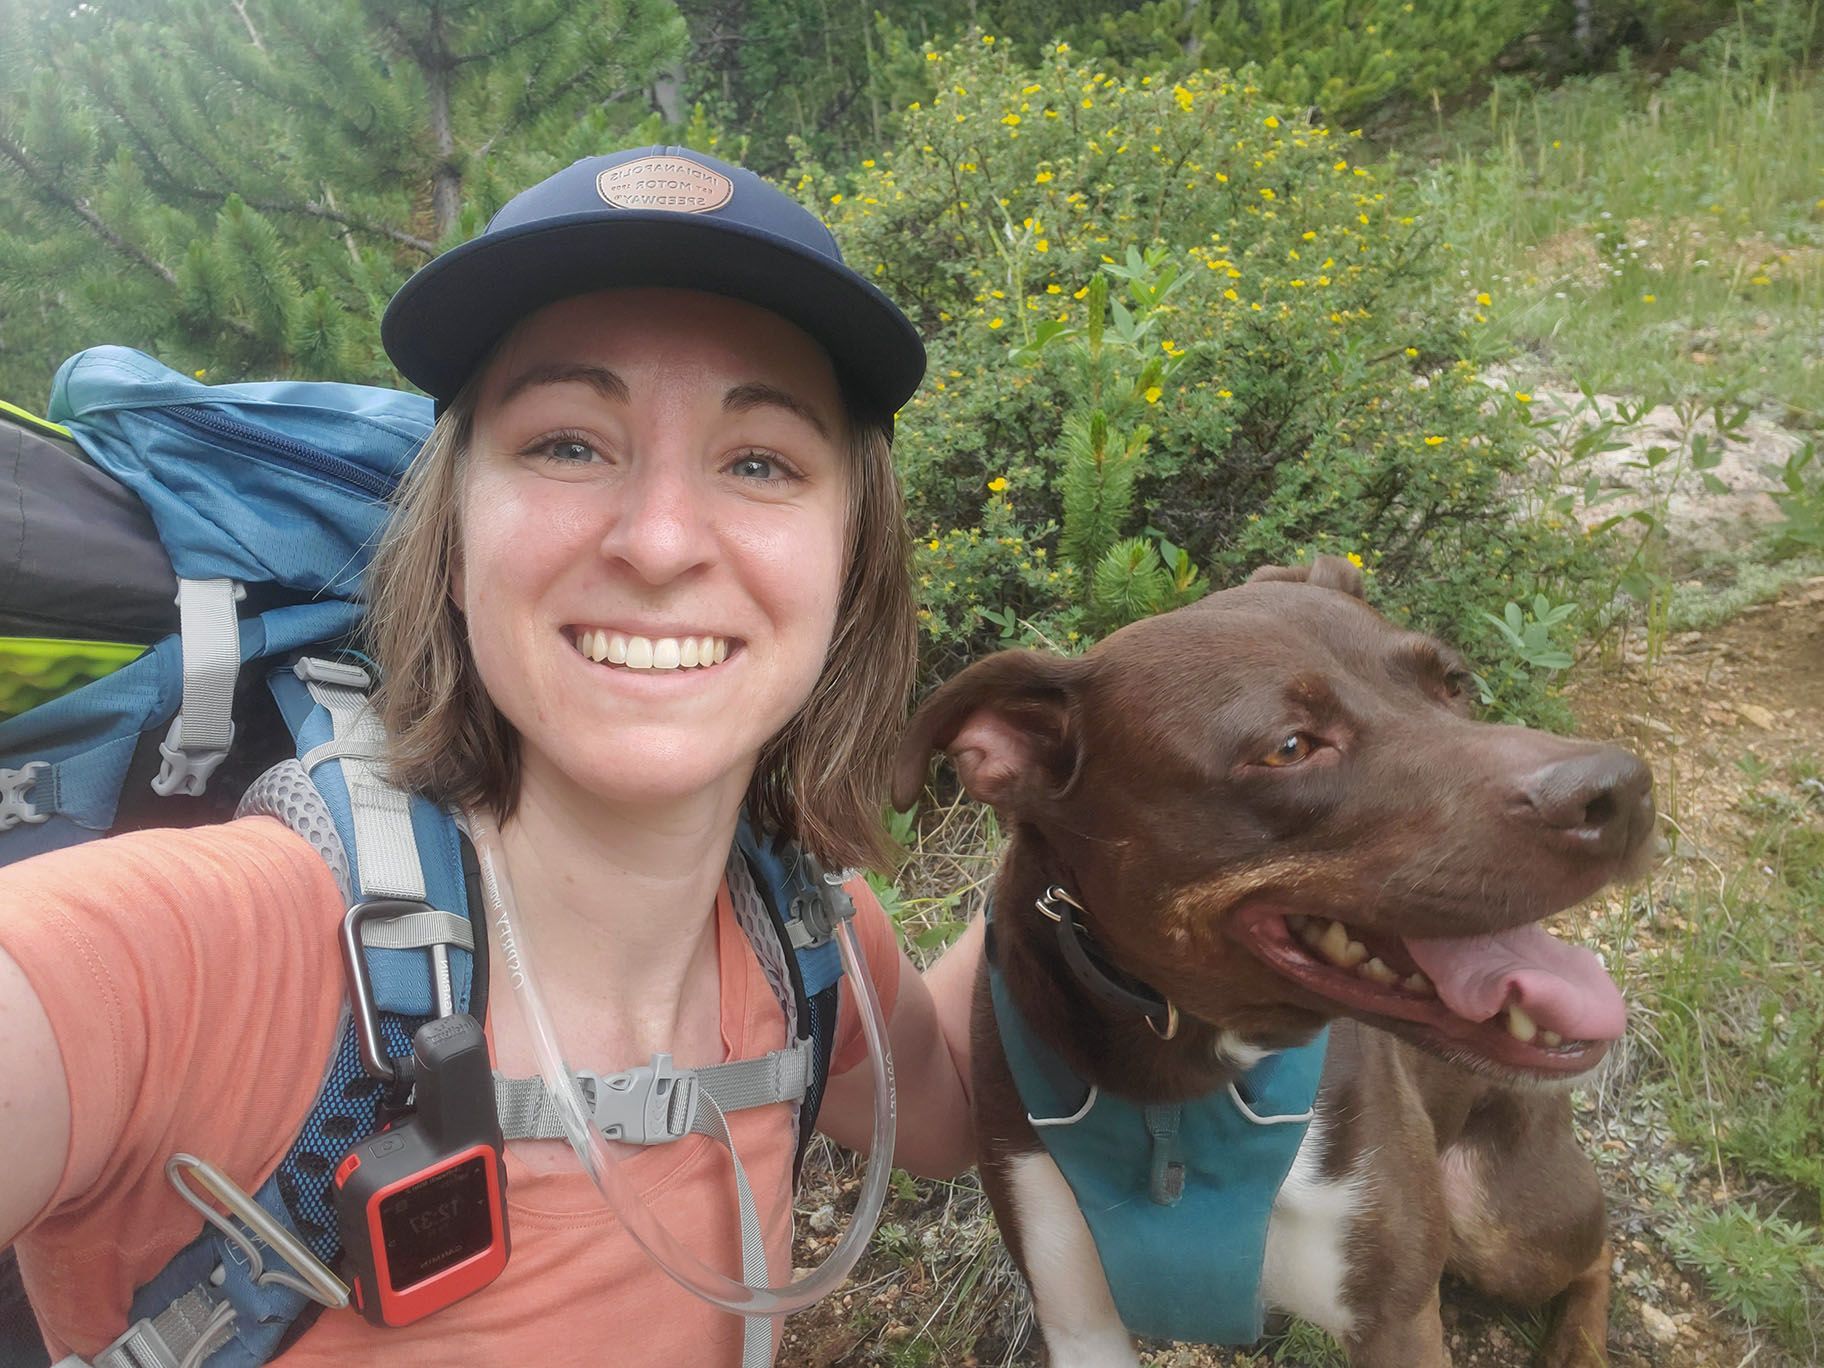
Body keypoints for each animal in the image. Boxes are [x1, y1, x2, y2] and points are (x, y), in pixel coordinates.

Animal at [897, 558, 1656, 1368]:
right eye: (1289, 748)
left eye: (1454, 683)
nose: (1623, 790)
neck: (1190, 1080)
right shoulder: (1077, 1316)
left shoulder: (1396, 1319)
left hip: (1493, 1218)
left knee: (1595, 1249)